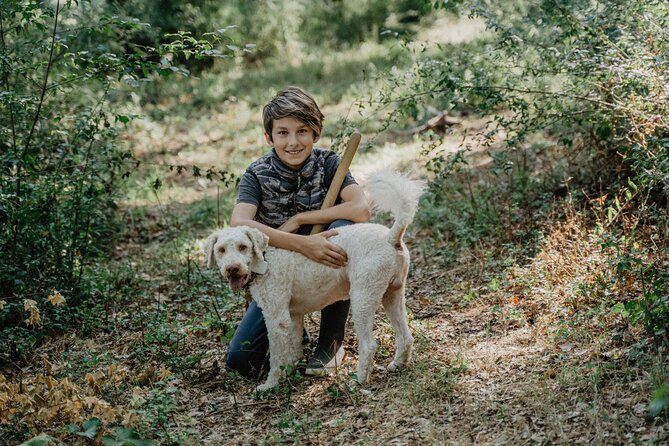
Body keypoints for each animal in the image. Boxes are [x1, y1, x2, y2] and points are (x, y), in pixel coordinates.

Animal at [202, 171, 422, 390]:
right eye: (221, 250)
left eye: (243, 247)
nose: (232, 268)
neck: (265, 258)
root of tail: (391, 237)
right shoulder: (293, 316)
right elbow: (292, 348)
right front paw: (289, 372)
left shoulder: (276, 318)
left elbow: (276, 357)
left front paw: (270, 385)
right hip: (392, 295)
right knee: (405, 336)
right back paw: (397, 364)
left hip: (363, 298)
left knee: (369, 345)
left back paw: (358, 380)